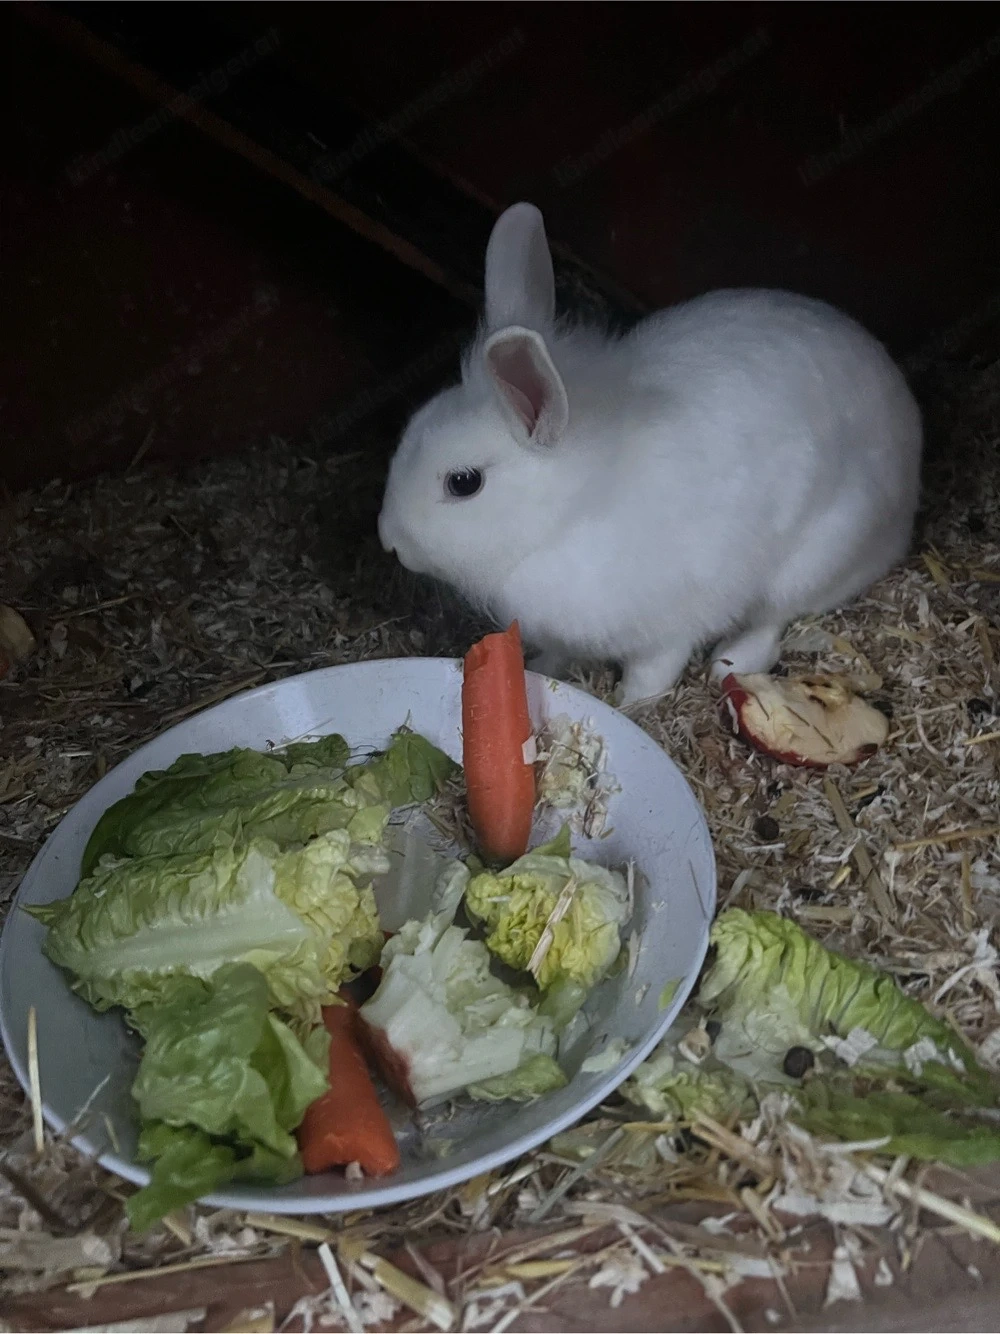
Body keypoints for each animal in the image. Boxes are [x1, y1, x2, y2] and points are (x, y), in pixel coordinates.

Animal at [378, 202, 922, 706]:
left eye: (463, 482)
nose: (390, 542)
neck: (567, 515)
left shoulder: (666, 629)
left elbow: (653, 673)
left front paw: (630, 705)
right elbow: (557, 656)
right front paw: (541, 669)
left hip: (813, 557)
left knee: (773, 620)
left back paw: (730, 659)